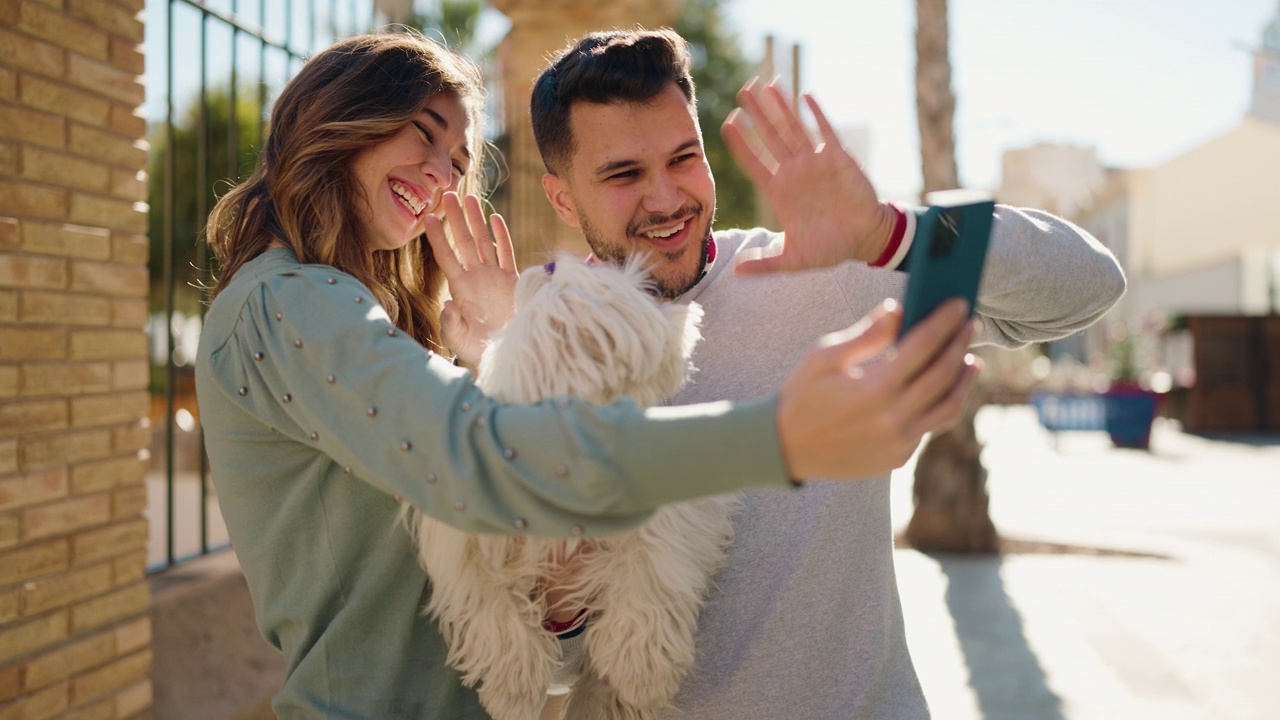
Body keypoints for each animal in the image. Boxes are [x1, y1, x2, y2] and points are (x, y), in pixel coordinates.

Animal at [404, 254, 737, 712]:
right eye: (644, 294)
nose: (688, 318)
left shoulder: (666, 520)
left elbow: (648, 575)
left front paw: (640, 669)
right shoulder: (463, 542)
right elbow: (492, 611)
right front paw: (512, 685)